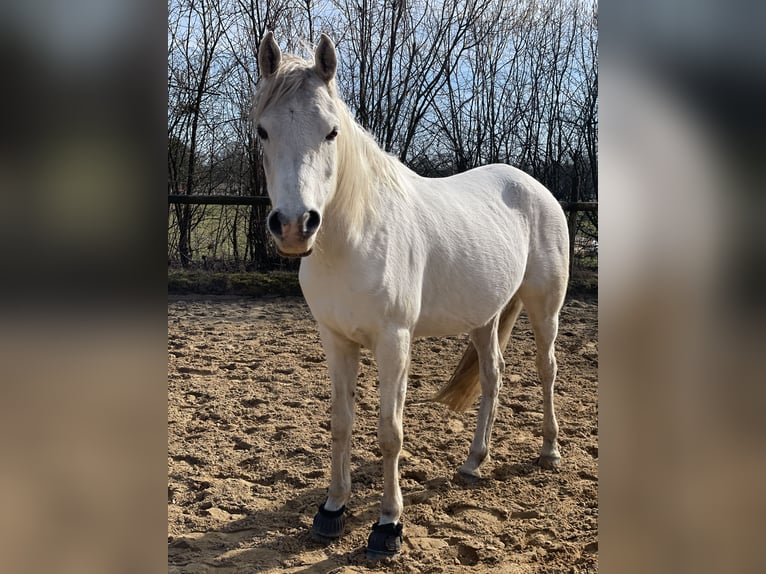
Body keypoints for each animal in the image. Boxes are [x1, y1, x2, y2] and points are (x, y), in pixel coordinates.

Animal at [252, 32, 569, 560]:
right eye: (262, 131)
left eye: (331, 132)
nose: (296, 226)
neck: (355, 237)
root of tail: (534, 186)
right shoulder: (336, 340)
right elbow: (341, 423)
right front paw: (332, 509)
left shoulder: (394, 342)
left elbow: (389, 432)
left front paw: (388, 526)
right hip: (484, 318)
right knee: (493, 375)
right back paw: (474, 461)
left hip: (545, 307)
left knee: (546, 370)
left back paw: (549, 450)